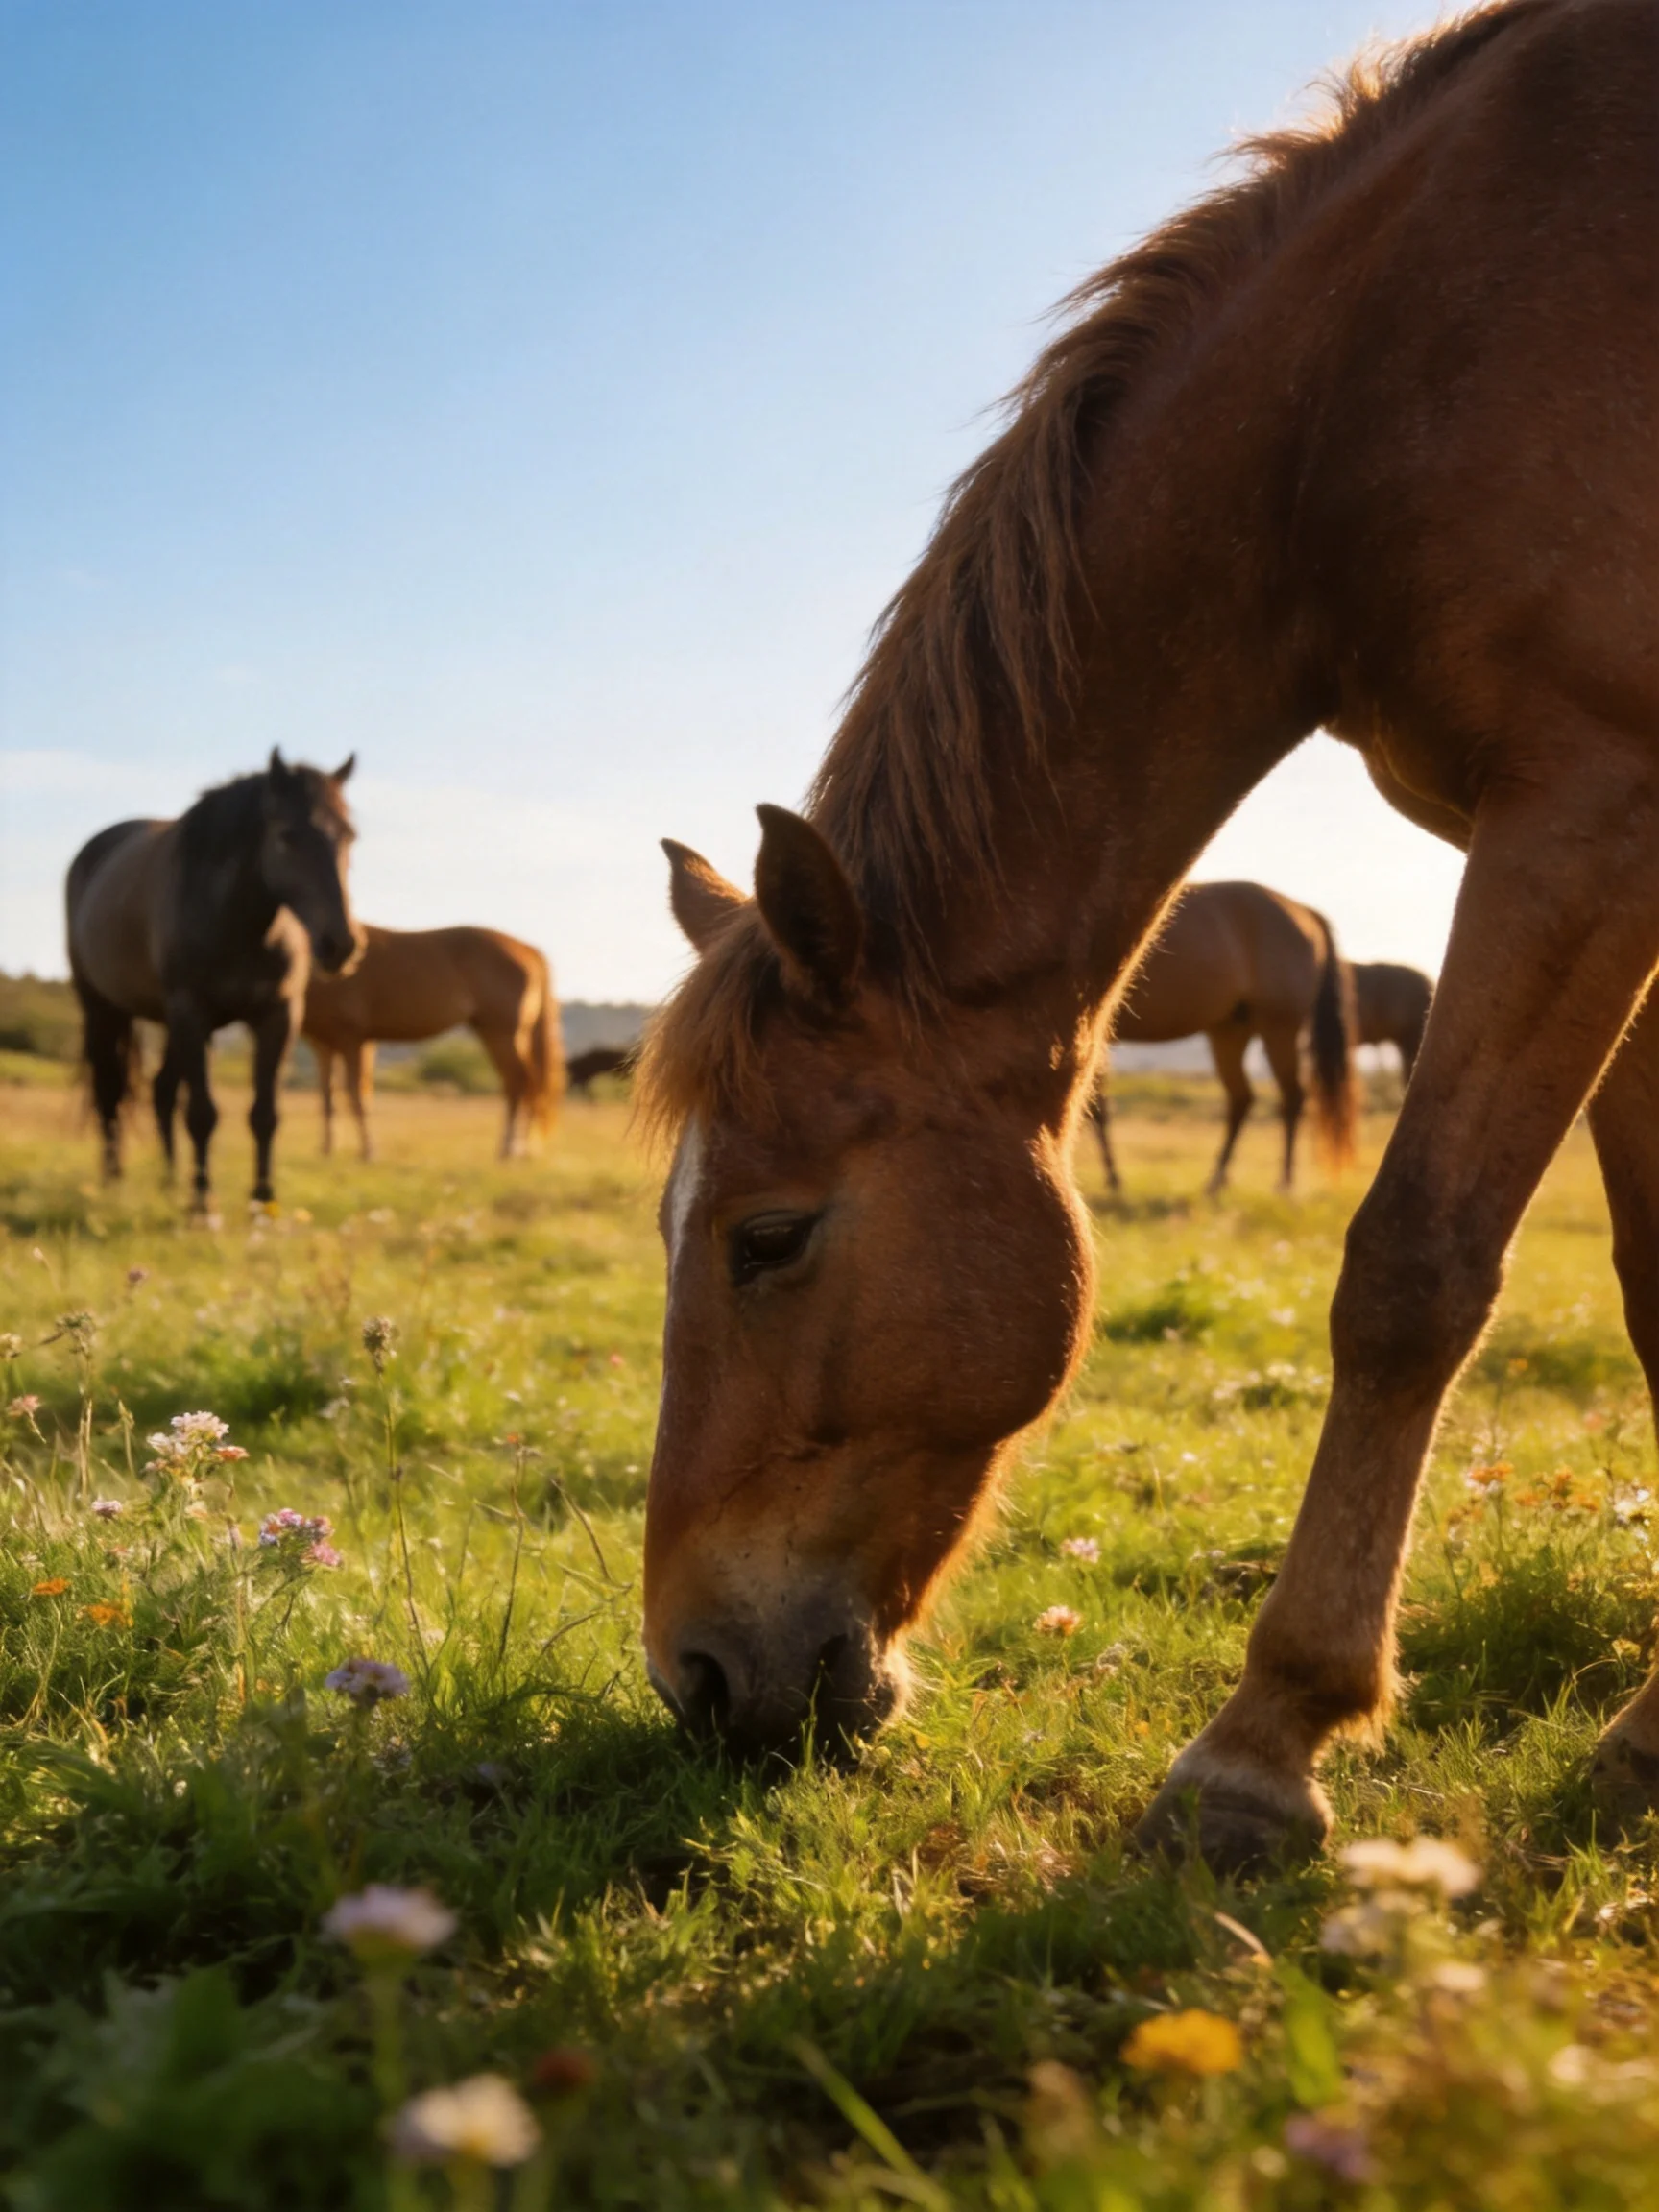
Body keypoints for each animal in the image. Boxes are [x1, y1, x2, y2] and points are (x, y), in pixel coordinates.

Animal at [66, 752, 360, 1213]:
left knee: (162, 1091)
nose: (341, 945)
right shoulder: (191, 1011)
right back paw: (113, 1182)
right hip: (102, 1008)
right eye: (288, 836)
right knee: (109, 1092)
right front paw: (203, 1206)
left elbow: (265, 1113)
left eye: (349, 835)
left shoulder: (277, 1015)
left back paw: (169, 1180)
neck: (238, 925)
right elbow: (202, 1113)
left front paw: (262, 1203)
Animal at [301, 924, 562, 1161]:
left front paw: (368, 1151)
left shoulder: (354, 1040)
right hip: (503, 1034)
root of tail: (529, 950)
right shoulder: (322, 1045)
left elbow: (357, 1094)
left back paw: (510, 1148)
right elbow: (328, 1097)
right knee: (527, 1084)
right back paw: (521, 1148)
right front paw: (327, 1149)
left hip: (502, 1033)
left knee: (520, 1081)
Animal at [1085, 880, 1355, 1194]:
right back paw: (1217, 1179)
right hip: (1230, 1031)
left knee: (1292, 1098)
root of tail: (1305, 912)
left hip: (1279, 1027)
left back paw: (1284, 1182)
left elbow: (1095, 1106)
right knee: (1242, 1099)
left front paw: (1113, 1178)